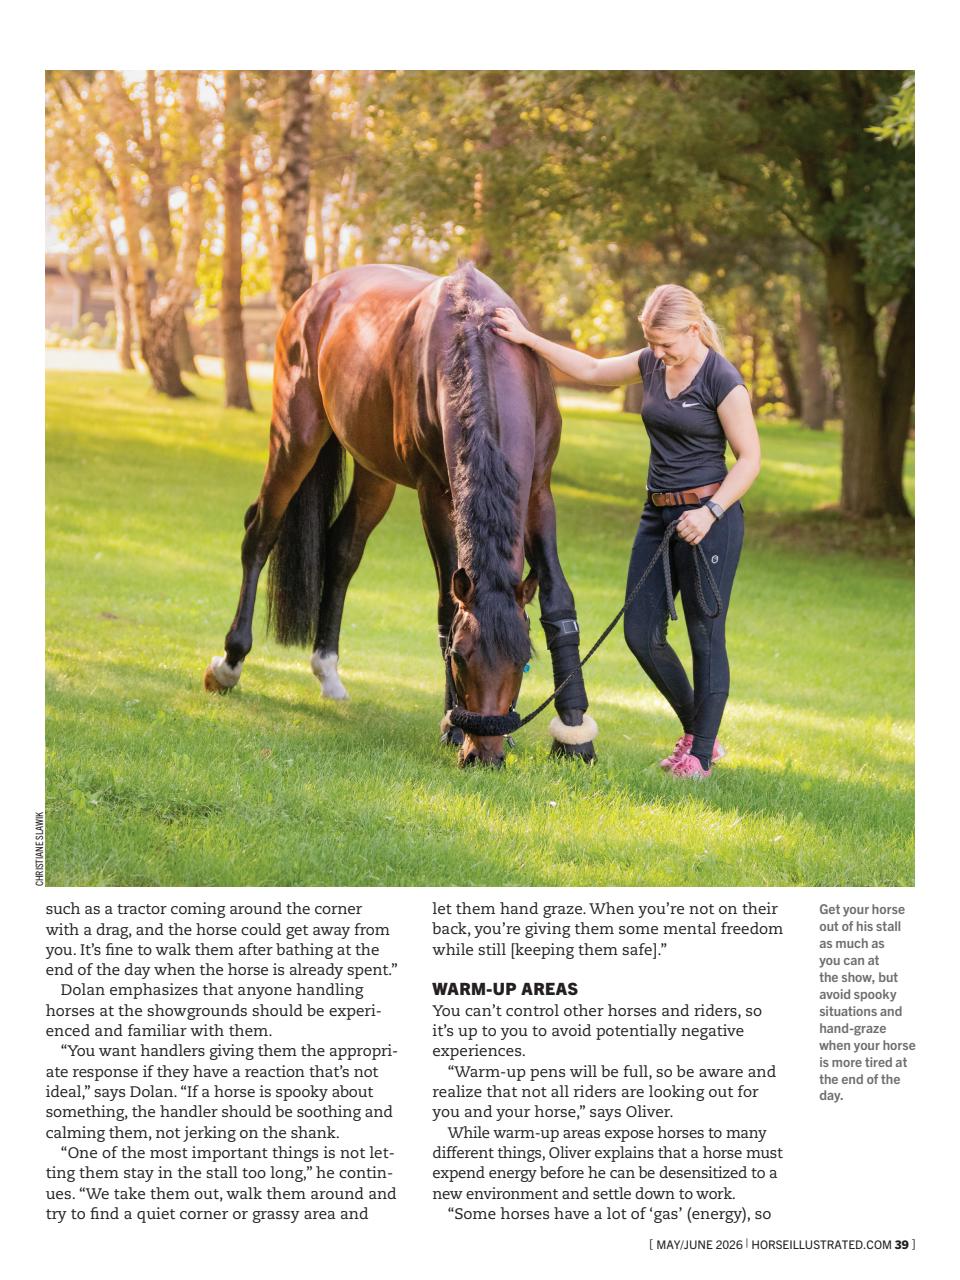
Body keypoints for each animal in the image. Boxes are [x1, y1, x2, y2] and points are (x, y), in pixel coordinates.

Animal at [204, 262, 598, 767]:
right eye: (460, 656)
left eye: (524, 660)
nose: (484, 754)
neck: (477, 340)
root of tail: (315, 294)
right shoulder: (434, 495)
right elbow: (447, 604)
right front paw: (452, 725)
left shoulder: (537, 493)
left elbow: (558, 600)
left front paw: (575, 733)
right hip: (295, 438)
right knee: (260, 533)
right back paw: (230, 663)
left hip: (375, 474)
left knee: (343, 549)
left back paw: (327, 670)